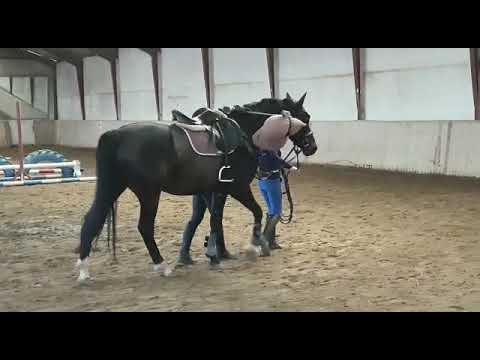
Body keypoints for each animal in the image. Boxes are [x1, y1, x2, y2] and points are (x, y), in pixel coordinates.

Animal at [76, 91, 316, 280]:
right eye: (305, 117)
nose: (312, 147)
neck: (244, 133)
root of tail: (116, 133)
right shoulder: (237, 187)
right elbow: (255, 212)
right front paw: (252, 246)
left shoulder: (217, 190)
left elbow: (215, 220)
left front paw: (217, 255)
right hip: (149, 193)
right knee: (144, 227)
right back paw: (162, 266)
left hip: (113, 186)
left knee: (92, 218)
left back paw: (83, 268)